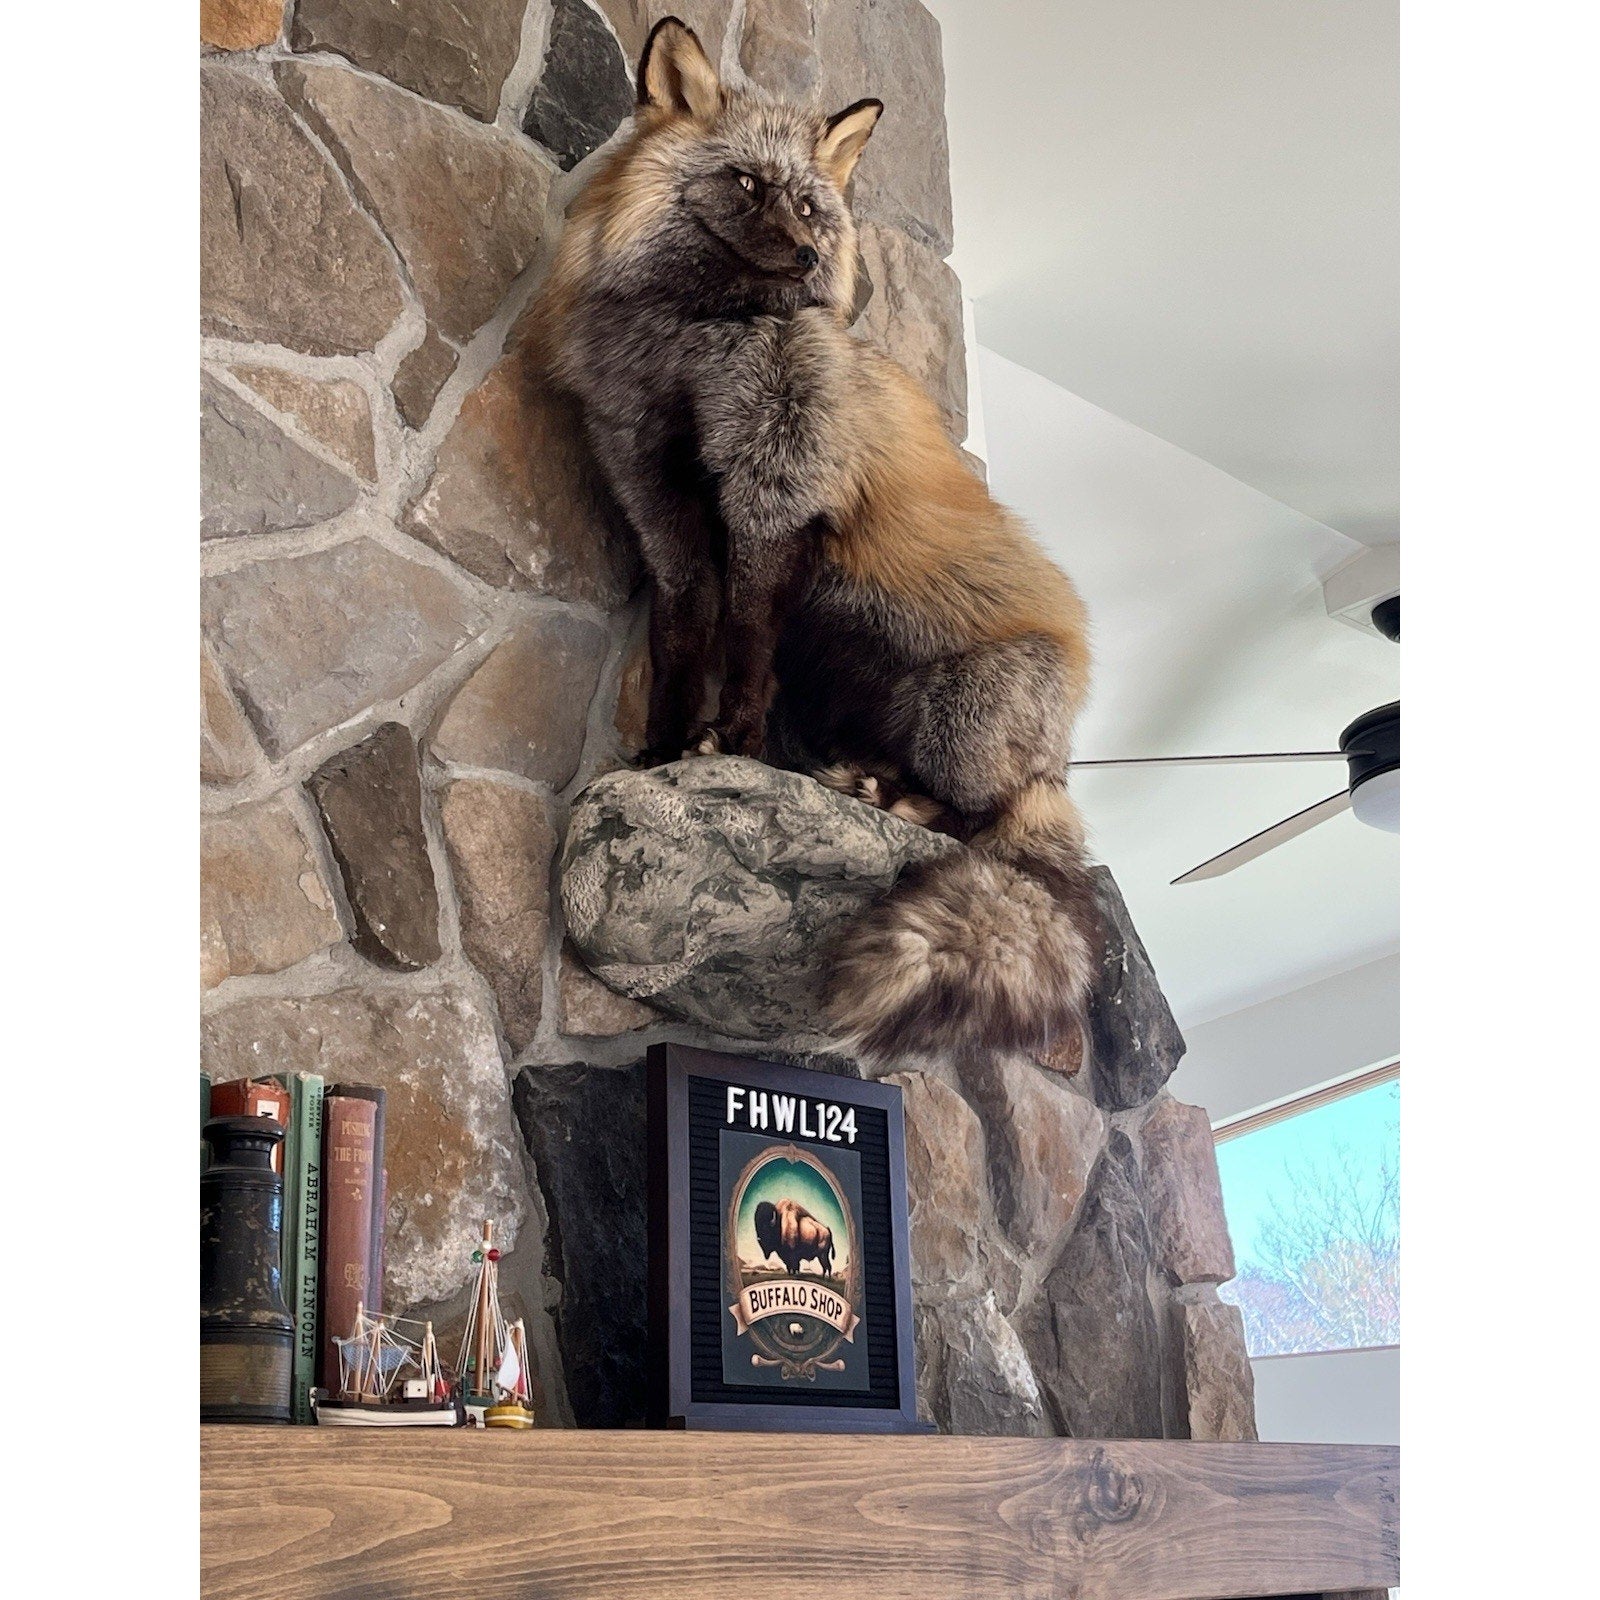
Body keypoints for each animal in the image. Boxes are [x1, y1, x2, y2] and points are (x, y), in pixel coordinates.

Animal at [539, 17, 1099, 1068]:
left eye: (809, 204)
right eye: (748, 185)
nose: (805, 259)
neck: (688, 352)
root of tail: (1060, 754)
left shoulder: (773, 491)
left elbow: (746, 644)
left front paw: (736, 747)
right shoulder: (656, 498)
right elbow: (683, 640)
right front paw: (666, 751)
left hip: (961, 716)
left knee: (977, 822)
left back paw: (893, 800)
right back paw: (863, 779)